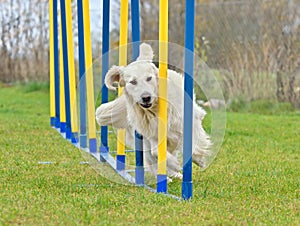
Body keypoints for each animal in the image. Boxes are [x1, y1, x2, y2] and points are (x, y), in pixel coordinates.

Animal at [95, 43, 211, 179]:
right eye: (133, 82)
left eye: (149, 78)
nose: (146, 97)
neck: (154, 110)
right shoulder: (152, 133)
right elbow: (156, 152)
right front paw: (173, 164)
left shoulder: (190, 120)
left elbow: (193, 143)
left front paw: (199, 160)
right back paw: (168, 175)